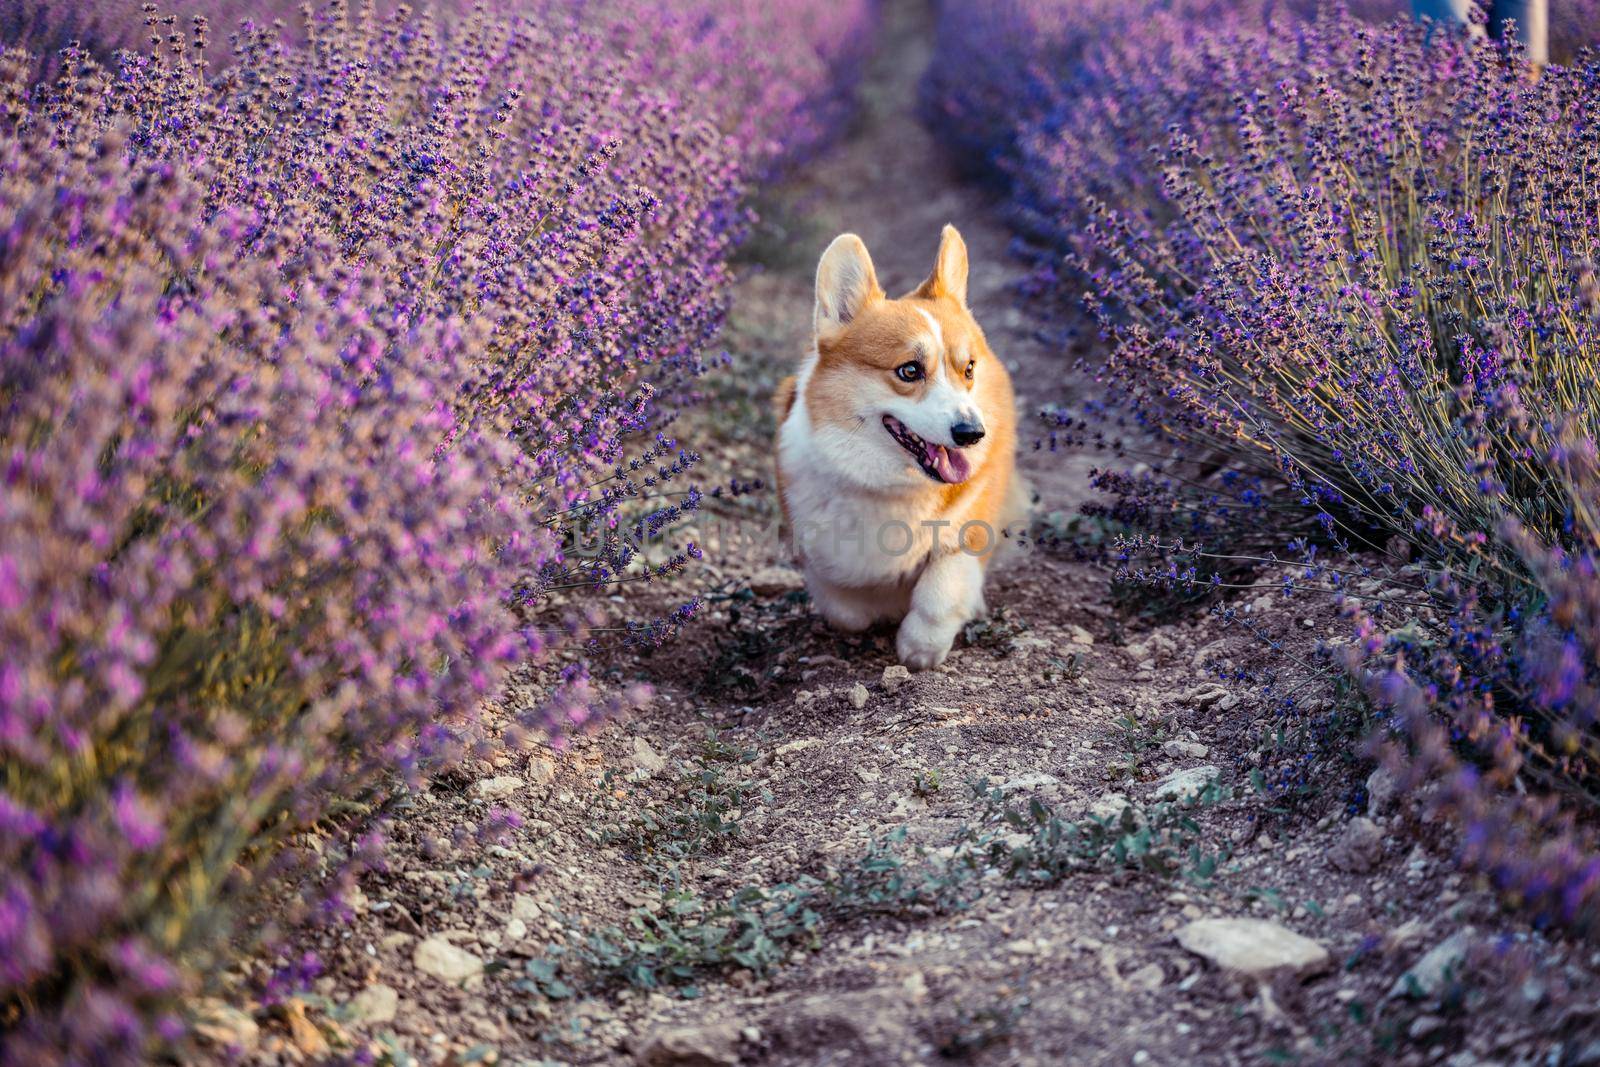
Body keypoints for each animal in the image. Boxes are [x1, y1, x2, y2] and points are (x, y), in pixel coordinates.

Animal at [777, 227, 1024, 668]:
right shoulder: (813, 547)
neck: (889, 485)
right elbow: (843, 607)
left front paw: (919, 647)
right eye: (909, 370)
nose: (972, 433)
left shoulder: (968, 529)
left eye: (968, 369)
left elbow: (940, 590)